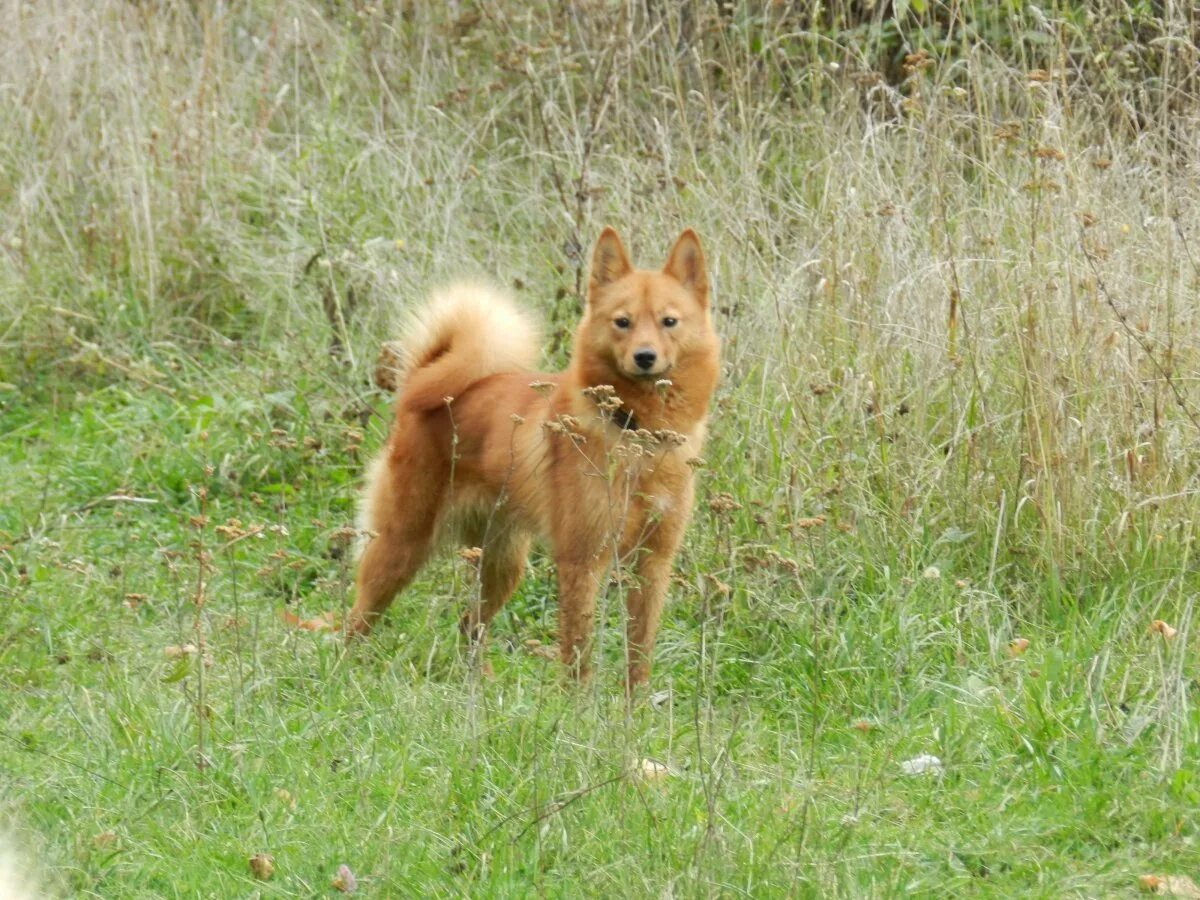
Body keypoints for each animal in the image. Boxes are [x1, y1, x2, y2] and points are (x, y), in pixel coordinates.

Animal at [348, 229, 720, 686]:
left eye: (669, 321)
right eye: (623, 322)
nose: (645, 357)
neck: (638, 437)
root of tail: (423, 382)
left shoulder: (652, 566)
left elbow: (639, 658)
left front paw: (636, 707)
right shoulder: (581, 562)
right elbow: (578, 657)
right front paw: (578, 706)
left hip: (502, 566)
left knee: (469, 625)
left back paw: (480, 685)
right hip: (400, 550)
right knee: (354, 621)